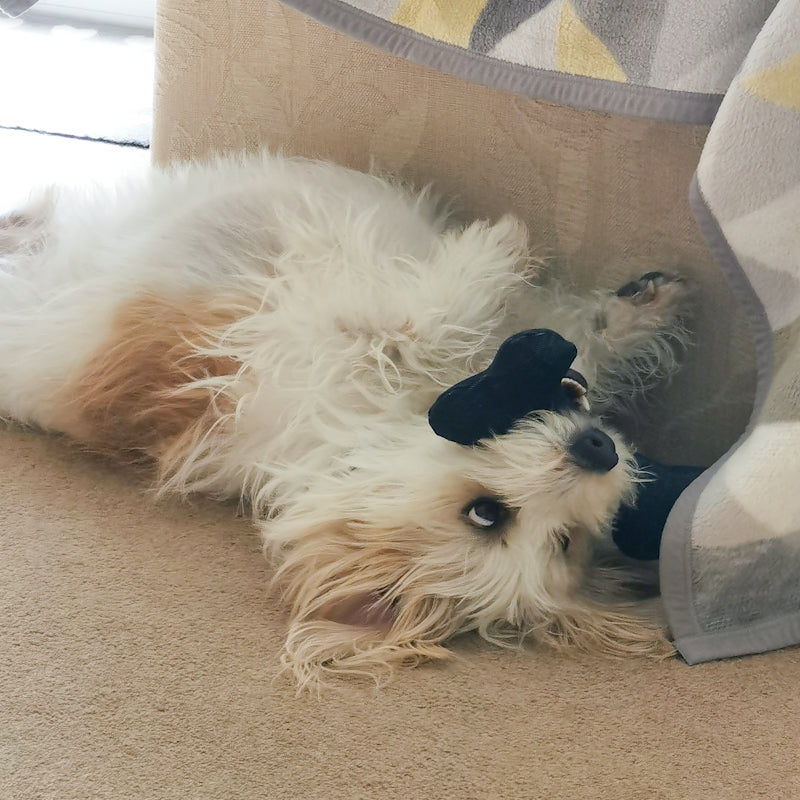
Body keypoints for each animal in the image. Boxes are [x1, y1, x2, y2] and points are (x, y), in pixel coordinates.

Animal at [0, 153, 692, 692]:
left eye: (566, 540)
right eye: (487, 514)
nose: (600, 451)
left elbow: (540, 336)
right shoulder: (325, 330)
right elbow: (430, 326)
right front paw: (503, 250)